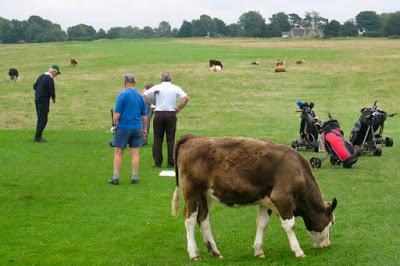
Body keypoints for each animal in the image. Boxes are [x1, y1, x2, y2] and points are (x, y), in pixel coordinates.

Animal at [172, 135, 338, 260]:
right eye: (331, 222)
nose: (327, 244)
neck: (297, 169)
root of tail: (193, 138)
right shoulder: (282, 198)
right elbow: (290, 225)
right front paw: (298, 251)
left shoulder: (266, 201)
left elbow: (262, 223)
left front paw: (258, 251)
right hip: (191, 192)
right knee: (190, 220)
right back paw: (194, 253)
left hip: (205, 195)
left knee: (203, 219)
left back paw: (215, 252)